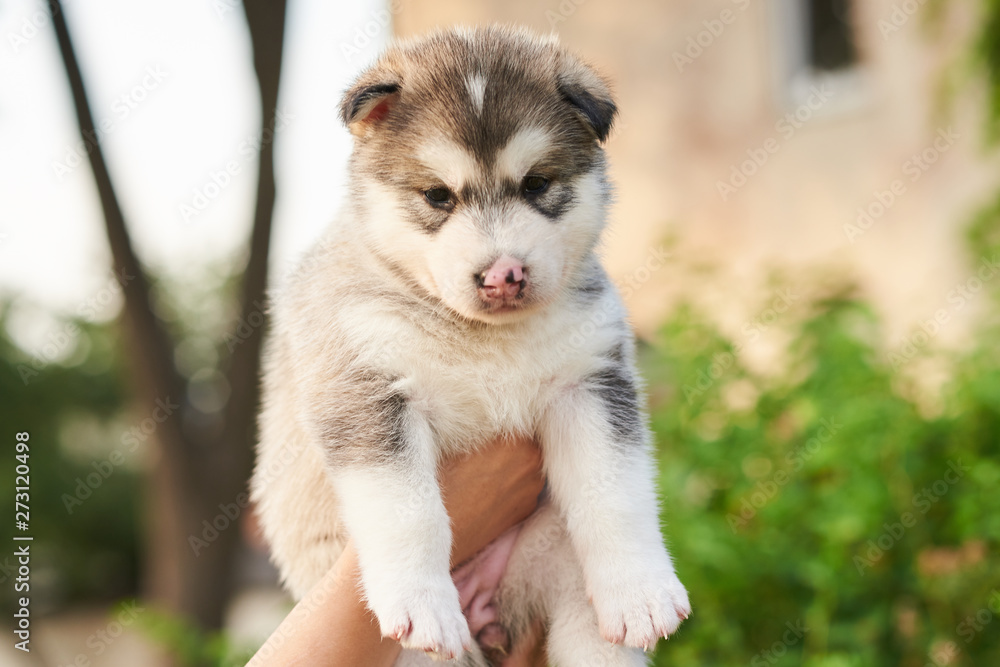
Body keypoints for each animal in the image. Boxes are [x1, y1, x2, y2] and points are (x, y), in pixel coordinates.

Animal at [250, 23, 688, 664]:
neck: (482, 339)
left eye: (537, 184)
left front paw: (643, 589)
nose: (504, 274)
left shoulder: (590, 379)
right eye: (438, 196)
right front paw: (421, 602)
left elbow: (616, 492)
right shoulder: (366, 387)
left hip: (557, 566)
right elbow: (409, 511)